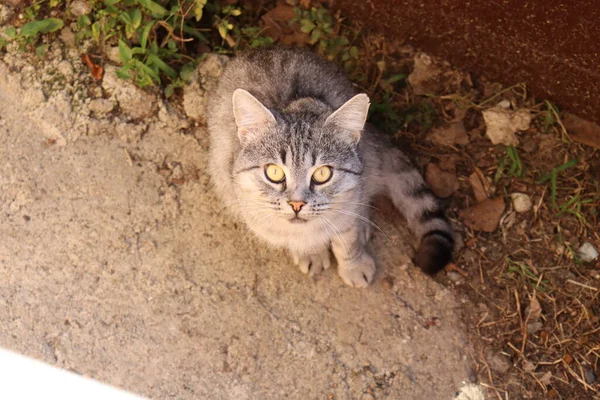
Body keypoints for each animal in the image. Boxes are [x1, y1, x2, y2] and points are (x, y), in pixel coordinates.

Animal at [207, 46, 454, 288]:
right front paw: (311, 252)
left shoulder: (350, 199)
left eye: (323, 173)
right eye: (274, 172)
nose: (296, 204)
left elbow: (348, 238)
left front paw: (353, 264)